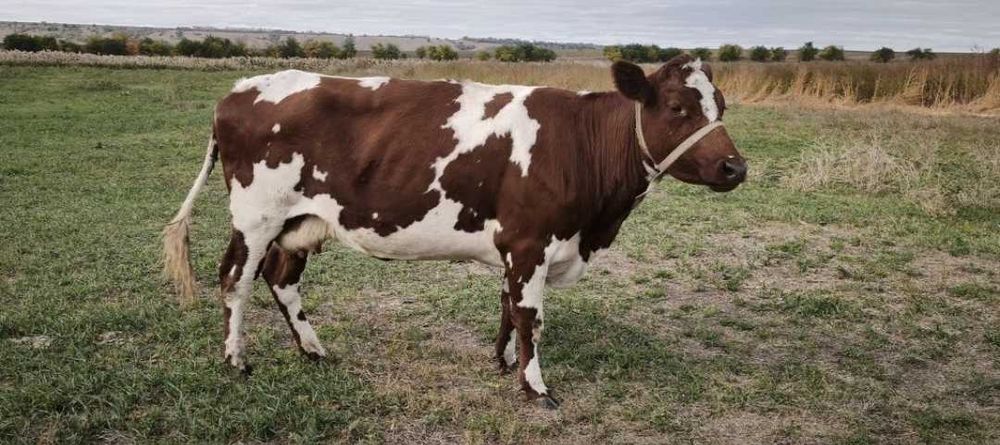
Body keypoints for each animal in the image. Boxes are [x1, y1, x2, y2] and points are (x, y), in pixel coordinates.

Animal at [162, 54, 747, 409]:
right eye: (678, 107)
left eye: (721, 105)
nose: (735, 167)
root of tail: (242, 88)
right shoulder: (530, 242)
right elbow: (530, 317)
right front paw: (535, 388)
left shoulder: (516, 247)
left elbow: (509, 307)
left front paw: (504, 363)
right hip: (256, 215)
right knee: (235, 279)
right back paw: (237, 360)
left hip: (301, 221)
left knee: (282, 279)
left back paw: (314, 350)